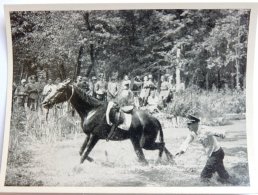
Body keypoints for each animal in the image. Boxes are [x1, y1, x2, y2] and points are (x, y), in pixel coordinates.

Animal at [41, 77, 173, 165]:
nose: (45, 102)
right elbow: (81, 152)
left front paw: (77, 168)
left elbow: (84, 154)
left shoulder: (95, 136)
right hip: (137, 142)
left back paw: (160, 161)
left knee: (160, 146)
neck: (91, 110)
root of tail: (154, 119)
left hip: (145, 143)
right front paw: (92, 160)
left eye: (60, 89)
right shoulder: (89, 135)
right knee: (151, 152)